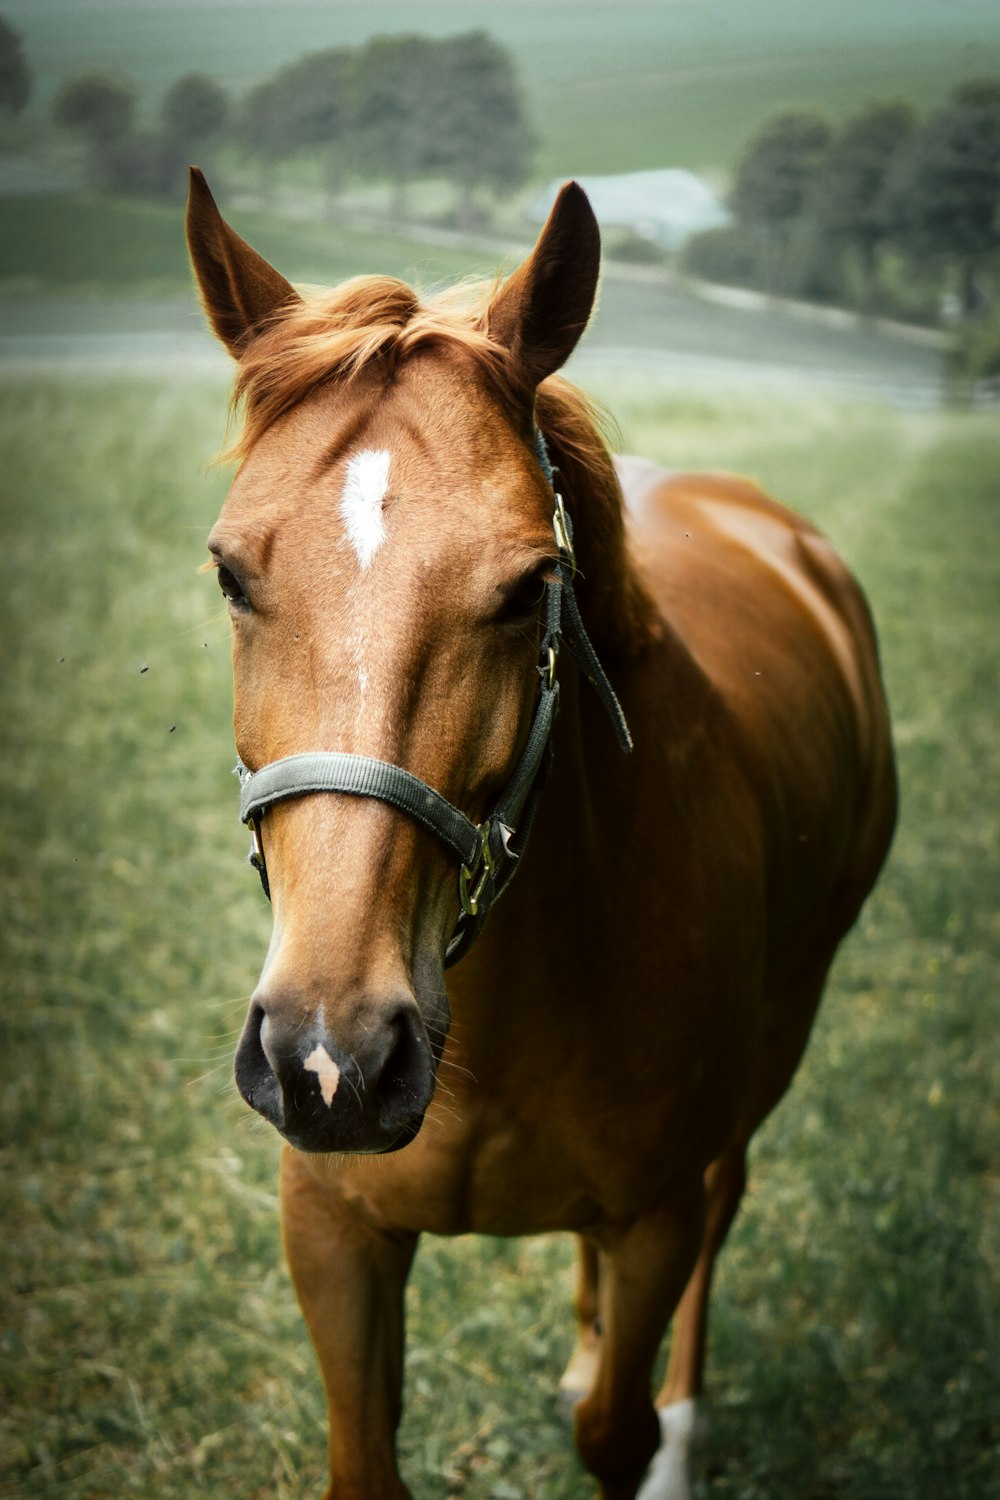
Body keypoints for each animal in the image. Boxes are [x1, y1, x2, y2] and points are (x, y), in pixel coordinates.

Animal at [187, 167, 899, 1500]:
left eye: (527, 590)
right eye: (228, 574)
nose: (330, 1060)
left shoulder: (657, 1215)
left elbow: (614, 1431)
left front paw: (649, 1434)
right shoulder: (333, 1230)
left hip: (780, 1030)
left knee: (726, 1202)